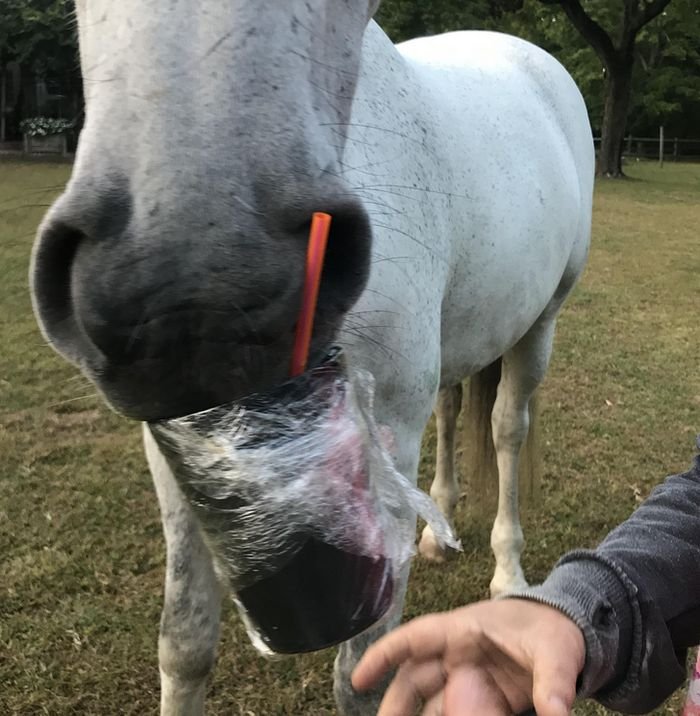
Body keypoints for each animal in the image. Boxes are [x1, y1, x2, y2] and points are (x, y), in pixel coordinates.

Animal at [31, 2, 592, 712]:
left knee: (506, 432)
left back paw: (508, 573)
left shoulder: (386, 441)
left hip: (539, 327)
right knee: (452, 408)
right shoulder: (173, 453)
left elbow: (360, 676)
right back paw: (438, 534)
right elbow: (184, 643)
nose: (185, 296)